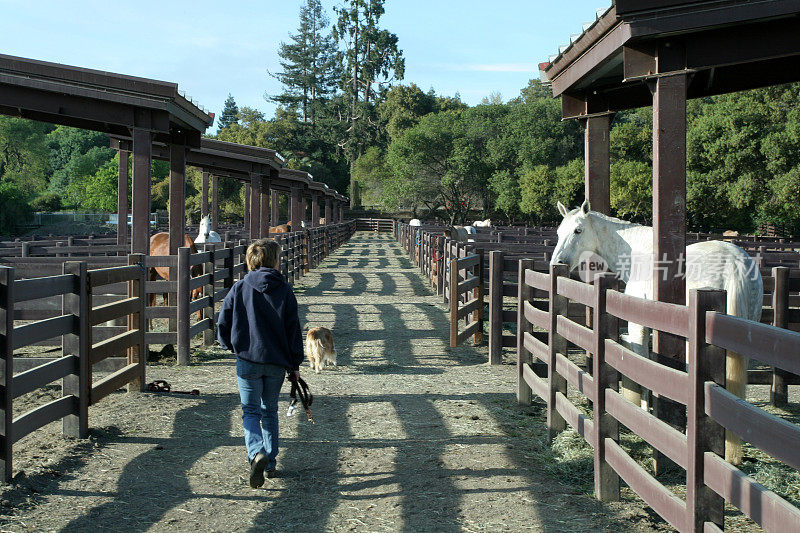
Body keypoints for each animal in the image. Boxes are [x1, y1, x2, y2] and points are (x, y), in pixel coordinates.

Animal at [552, 198, 764, 462]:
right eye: (559, 232)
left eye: (578, 231)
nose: (557, 263)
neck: (639, 255)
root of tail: (734, 262)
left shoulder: (638, 326)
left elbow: (643, 365)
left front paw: (644, 412)